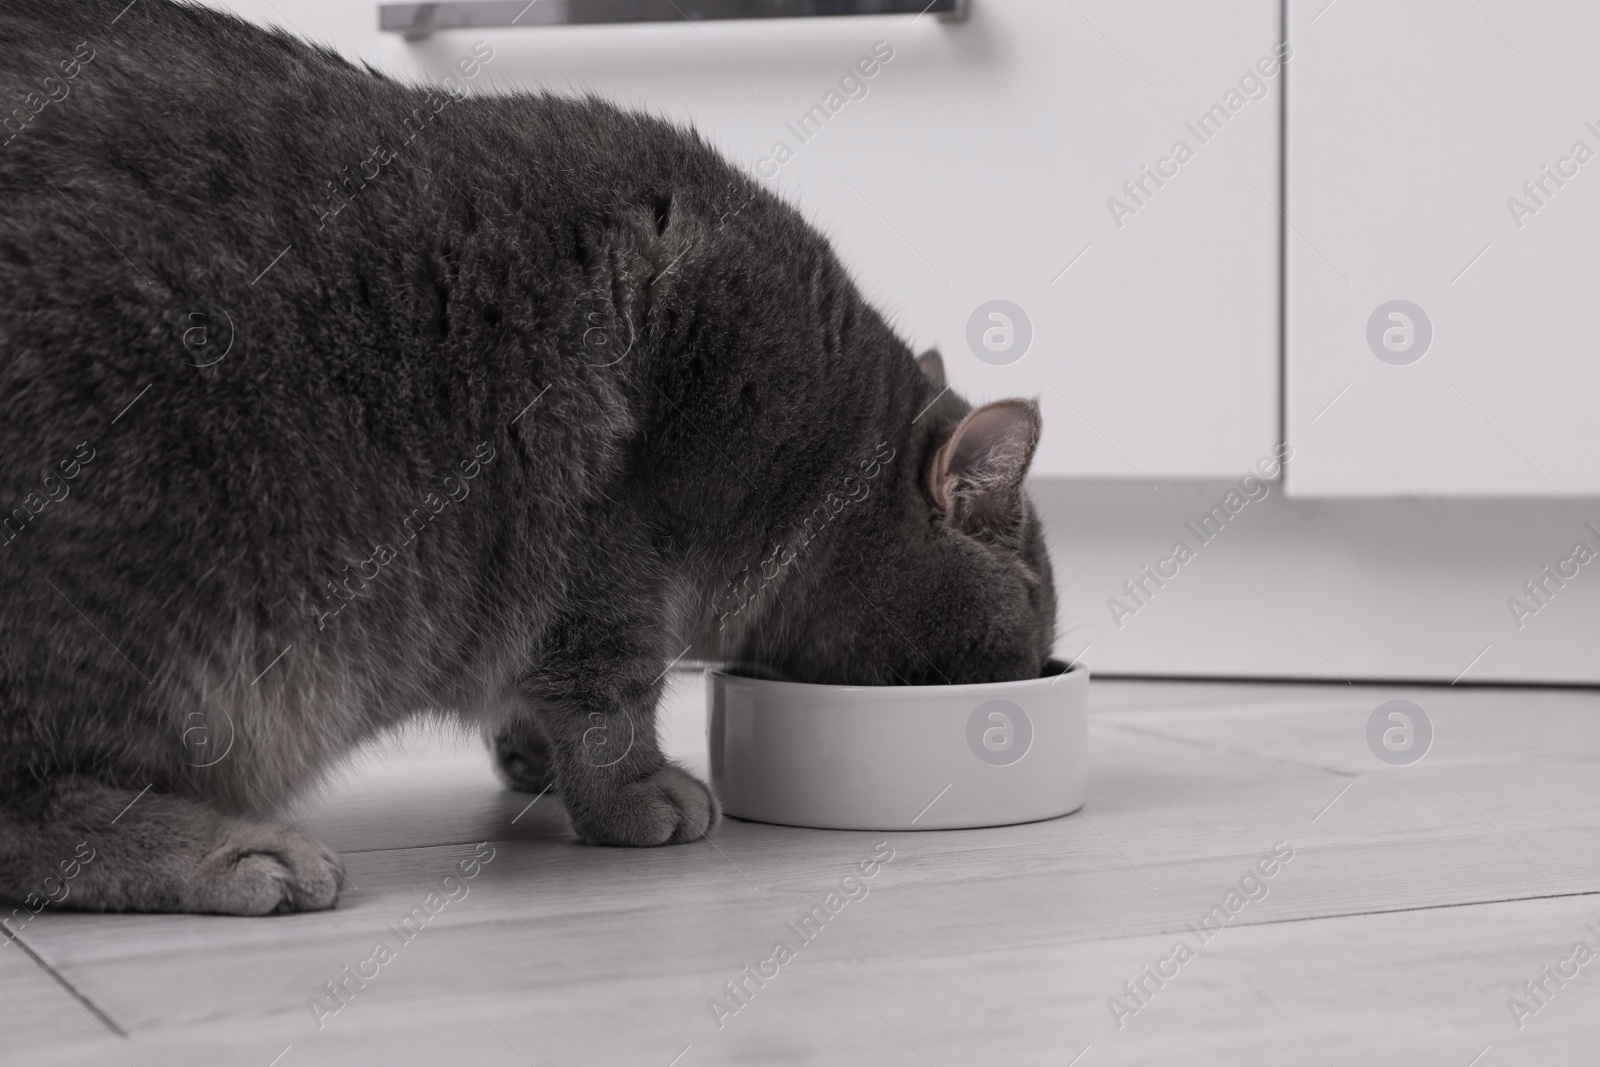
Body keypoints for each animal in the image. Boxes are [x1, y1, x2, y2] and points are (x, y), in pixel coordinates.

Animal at [0, 2, 1056, 921]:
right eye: (1037, 608)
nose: (1042, 665)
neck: (820, 440)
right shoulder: (615, 537)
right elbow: (613, 685)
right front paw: (638, 792)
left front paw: (532, 757)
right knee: (28, 817)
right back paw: (237, 852)